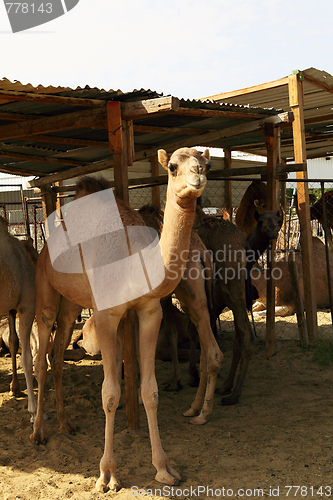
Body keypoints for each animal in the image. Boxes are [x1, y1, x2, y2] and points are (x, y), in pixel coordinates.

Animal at [29, 147, 222, 492]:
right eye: (173, 167)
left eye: (207, 164)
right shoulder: (106, 314)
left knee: (57, 352)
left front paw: (164, 468)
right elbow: (109, 393)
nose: (198, 176)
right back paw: (38, 433)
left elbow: (150, 391)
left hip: (71, 302)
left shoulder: (149, 311)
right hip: (46, 287)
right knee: (42, 354)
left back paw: (66, 424)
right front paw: (106, 475)